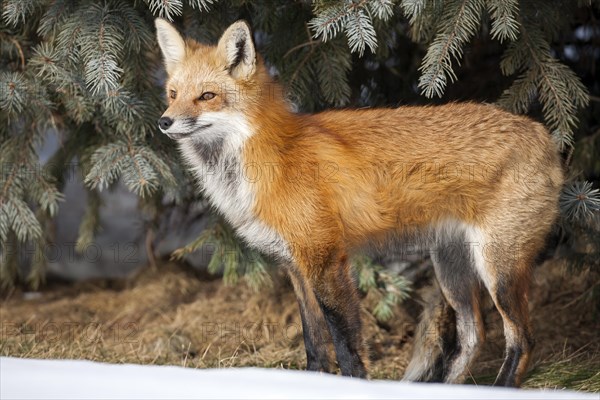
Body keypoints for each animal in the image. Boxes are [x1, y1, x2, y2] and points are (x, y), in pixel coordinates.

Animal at [154, 19, 564, 388]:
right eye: (173, 93)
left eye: (207, 96)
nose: (164, 122)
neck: (271, 159)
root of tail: (543, 132)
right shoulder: (297, 267)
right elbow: (315, 344)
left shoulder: (326, 260)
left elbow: (347, 345)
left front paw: (354, 387)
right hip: (452, 268)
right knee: (473, 336)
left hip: (498, 269)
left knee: (522, 340)